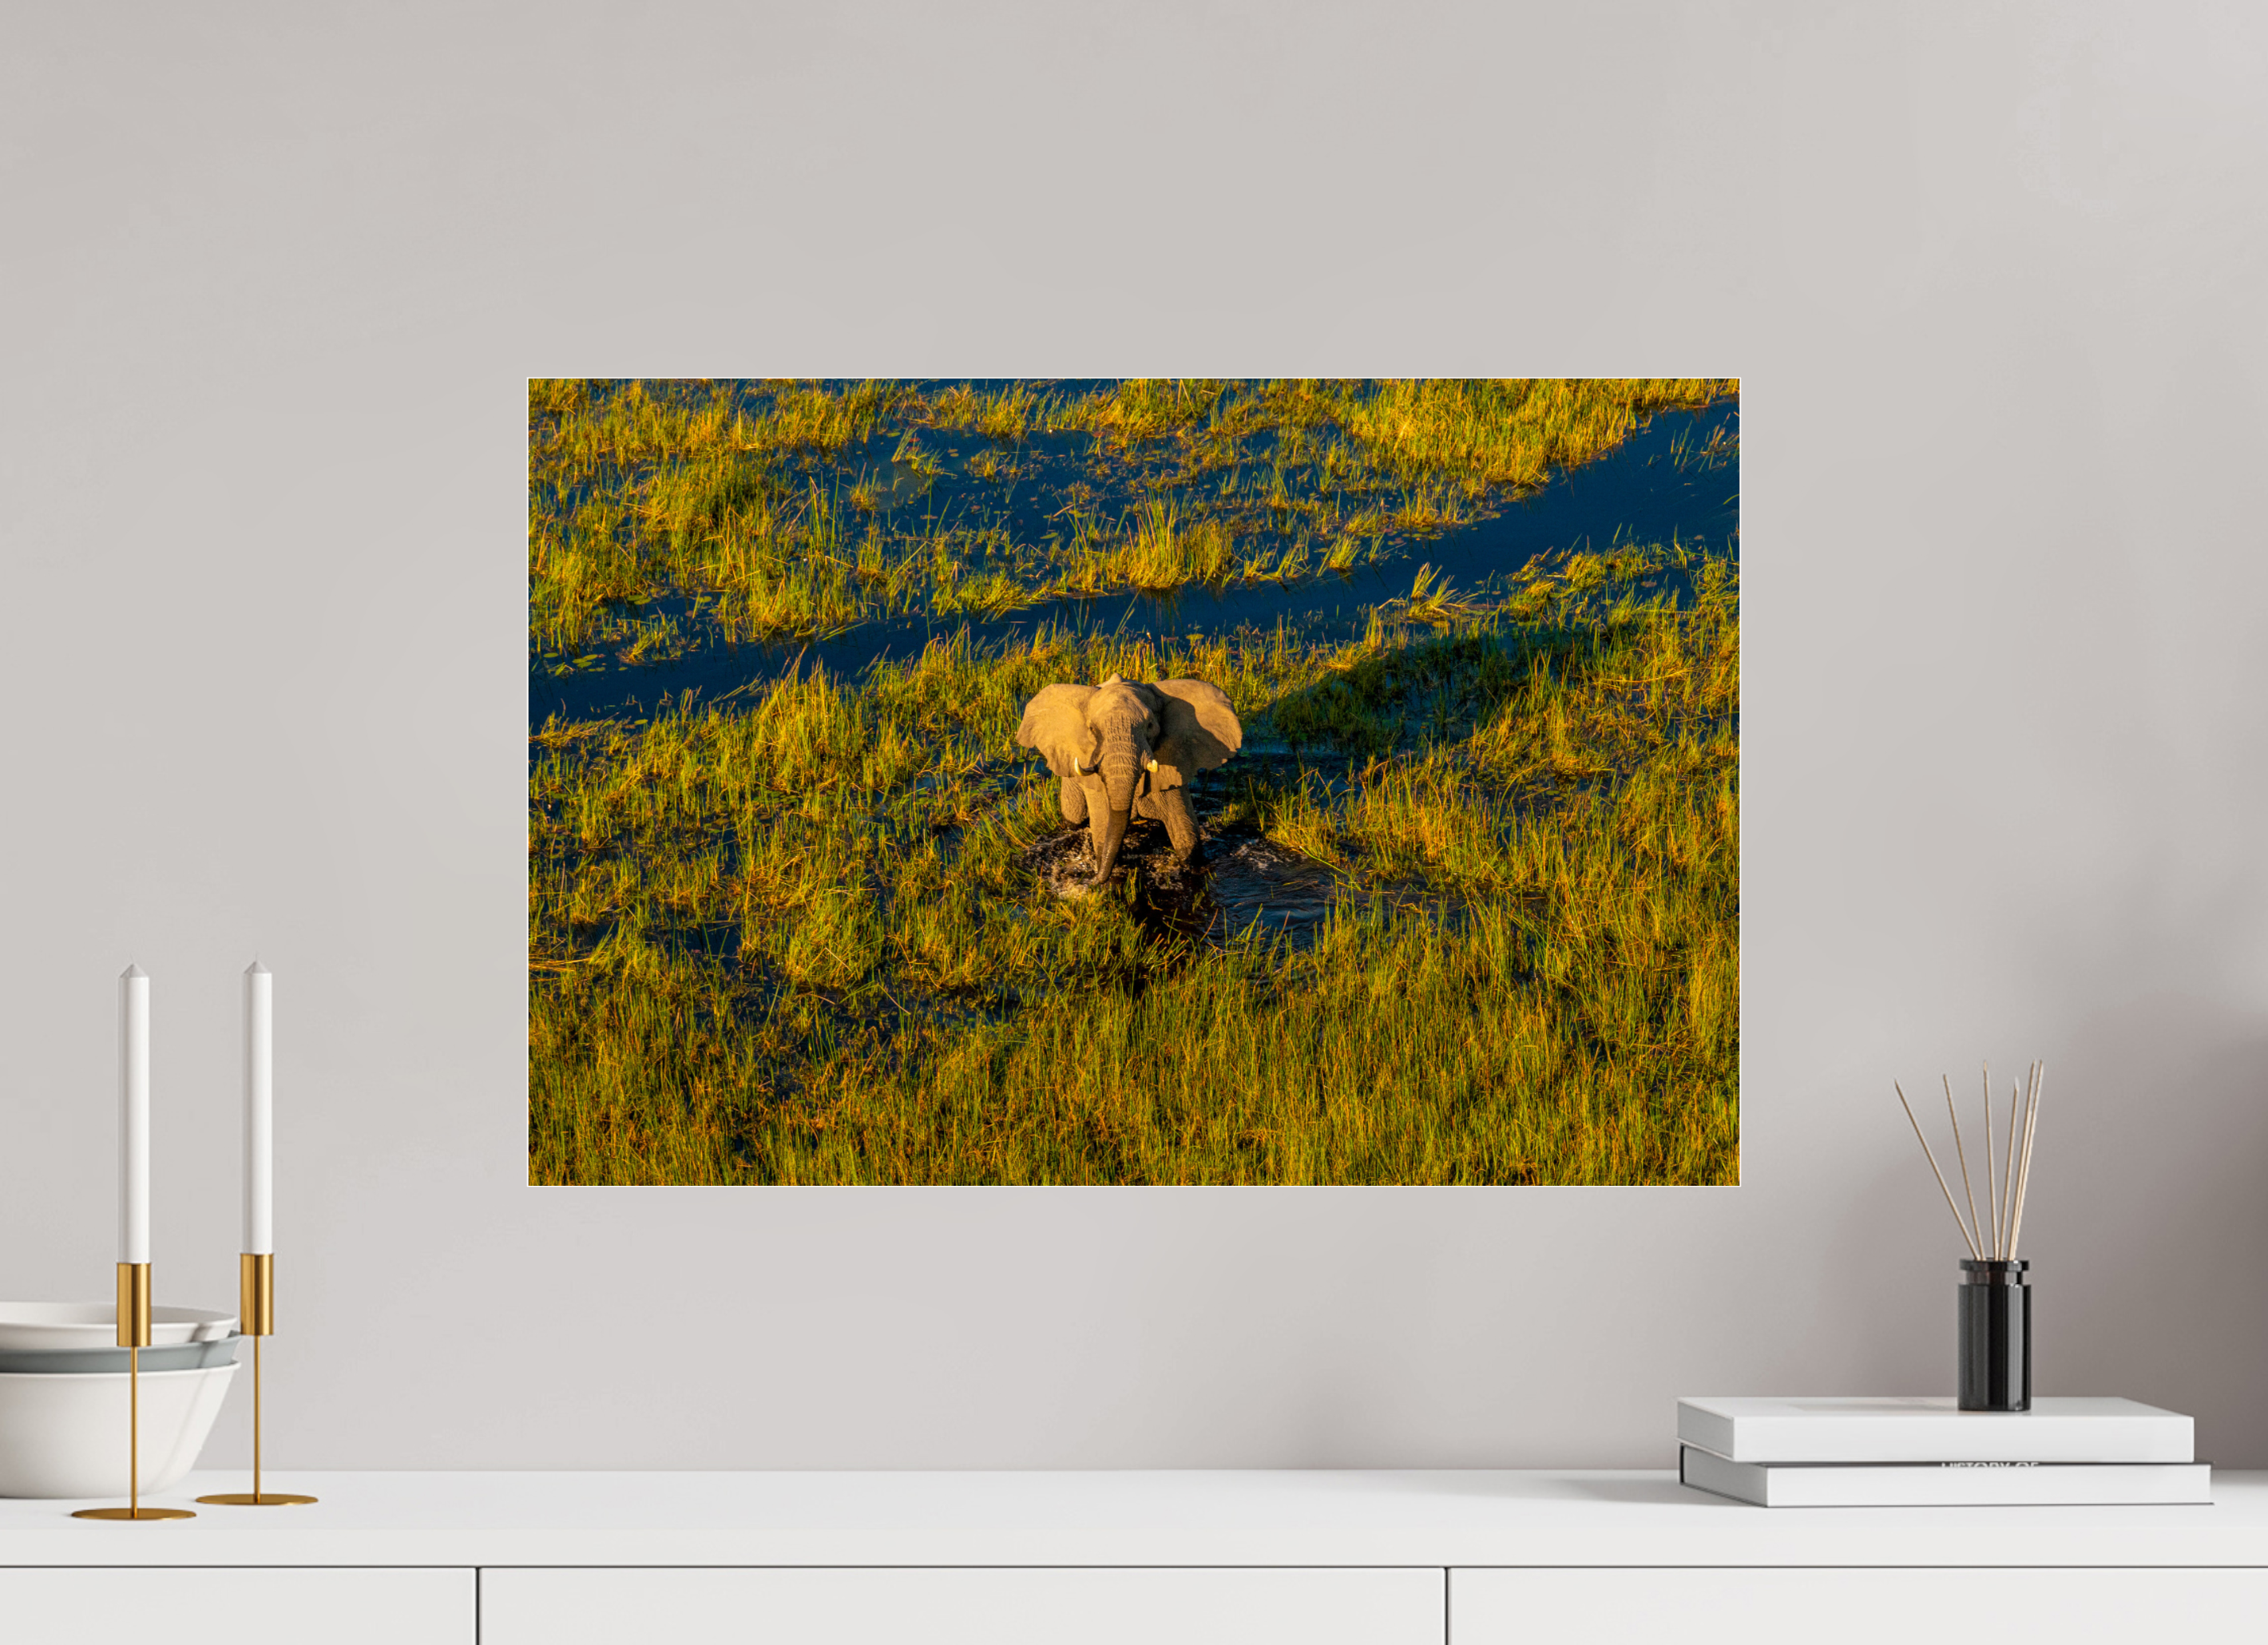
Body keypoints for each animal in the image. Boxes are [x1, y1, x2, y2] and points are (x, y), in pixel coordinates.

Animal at [1016, 674, 1242, 880]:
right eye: (1092, 729)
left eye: (1150, 725)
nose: (1094, 880)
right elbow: (1102, 829)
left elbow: (1186, 833)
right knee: (1075, 817)